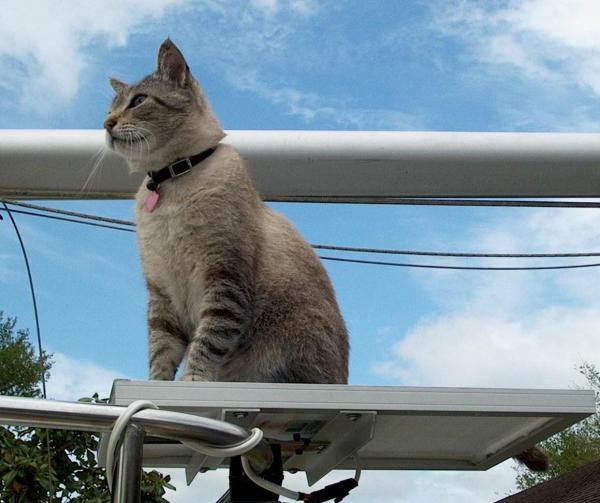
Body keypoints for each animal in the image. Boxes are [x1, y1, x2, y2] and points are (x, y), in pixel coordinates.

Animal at [103, 40, 346, 386]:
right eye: (110, 108)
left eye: (138, 101)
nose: (106, 124)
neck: (171, 180)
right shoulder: (162, 291)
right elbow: (161, 350)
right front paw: (156, 383)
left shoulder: (223, 277)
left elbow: (208, 340)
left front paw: (192, 380)